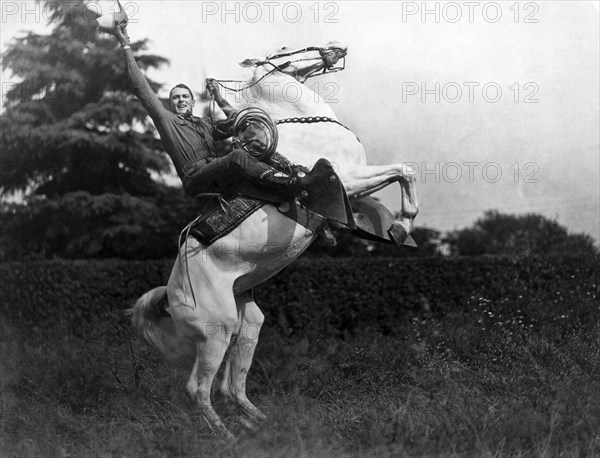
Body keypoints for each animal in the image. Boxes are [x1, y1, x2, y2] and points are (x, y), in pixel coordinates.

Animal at [131, 41, 418, 438]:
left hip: (247, 323)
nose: (336, 48)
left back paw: (263, 425)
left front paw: (381, 228)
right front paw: (403, 224)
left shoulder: (353, 191)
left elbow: (394, 181)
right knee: (199, 389)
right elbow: (404, 170)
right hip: (216, 329)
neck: (301, 123)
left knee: (231, 386)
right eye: (284, 49)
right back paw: (229, 438)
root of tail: (170, 294)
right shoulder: (348, 177)